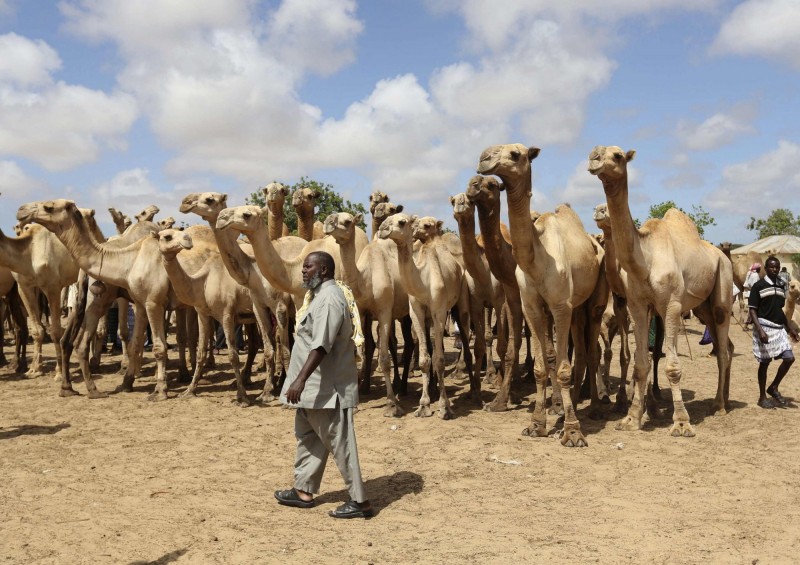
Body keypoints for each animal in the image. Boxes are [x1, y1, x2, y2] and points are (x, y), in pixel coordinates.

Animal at [0, 223, 79, 376]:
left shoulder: (53, 286)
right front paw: (34, 368)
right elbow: (36, 330)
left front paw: (59, 371)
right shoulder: (24, 287)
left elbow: (55, 331)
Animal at [324, 210, 416, 414]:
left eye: (347, 221)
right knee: (394, 343)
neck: (365, 279)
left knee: (410, 343)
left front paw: (391, 404)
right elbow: (365, 348)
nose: (327, 222)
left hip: (406, 314)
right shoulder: (361, 312)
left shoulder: (384, 310)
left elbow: (383, 358)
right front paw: (357, 400)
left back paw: (403, 388)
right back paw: (395, 384)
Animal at [376, 212, 476, 418]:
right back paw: (433, 388)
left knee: (465, 333)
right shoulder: (416, 312)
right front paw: (423, 405)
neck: (423, 281)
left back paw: (473, 392)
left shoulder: (439, 311)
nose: (382, 229)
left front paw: (445, 407)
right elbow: (425, 359)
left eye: (402, 222)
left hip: (461, 300)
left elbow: (439, 359)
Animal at [476, 144, 608, 446]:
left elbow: (561, 368)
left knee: (591, 349)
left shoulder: (560, 305)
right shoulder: (532, 307)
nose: (484, 158)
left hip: (594, 303)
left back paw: (594, 407)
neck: (537, 259)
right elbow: (539, 367)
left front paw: (572, 431)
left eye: (515, 154)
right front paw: (536, 425)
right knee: (580, 349)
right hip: (575, 308)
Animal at [588, 143, 732, 434]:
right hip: (702, 307)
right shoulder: (637, 305)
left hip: (723, 282)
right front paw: (632, 418)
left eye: (617, 155)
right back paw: (719, 401)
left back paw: (720, 406)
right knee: (722, 343)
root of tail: (722, 254)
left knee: (722, 348)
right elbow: (640, 362)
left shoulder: (672, 305)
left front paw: (681, 422)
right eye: (596, 151)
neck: (645, 259)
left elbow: (673, 366)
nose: (594, 158)